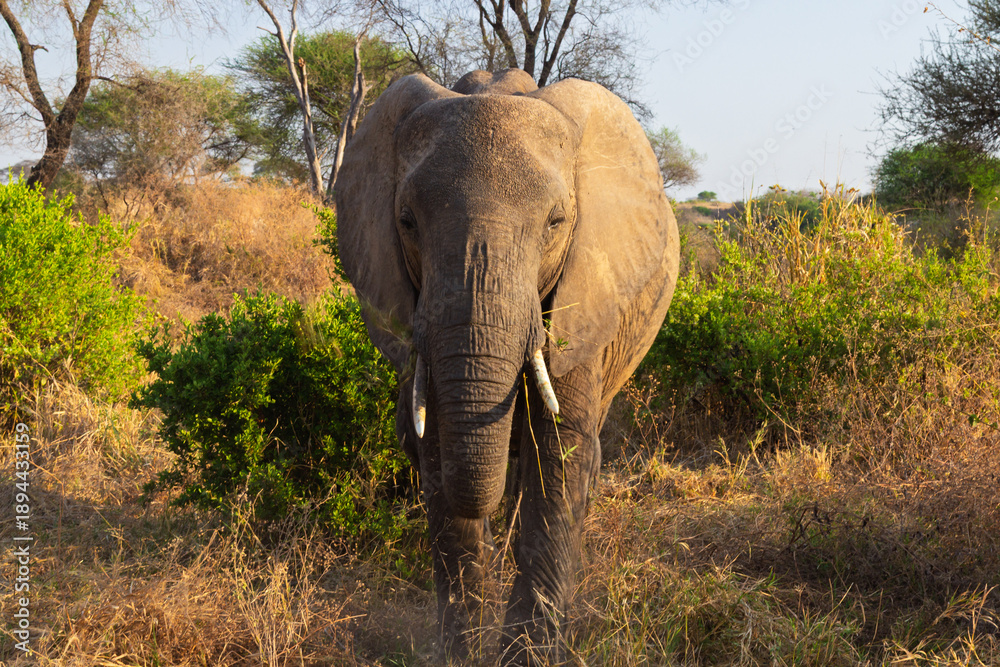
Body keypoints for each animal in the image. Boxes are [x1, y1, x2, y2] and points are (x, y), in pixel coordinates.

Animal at [335, 68, 679, 664]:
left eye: (556, 221)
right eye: (406, 221)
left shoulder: (584, 296)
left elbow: (560, 451)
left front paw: (525, 656)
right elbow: (438, 447)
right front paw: (465, 655)